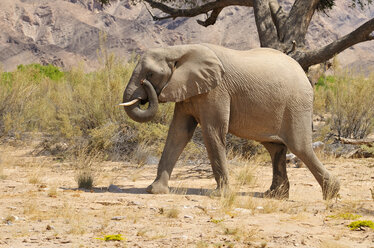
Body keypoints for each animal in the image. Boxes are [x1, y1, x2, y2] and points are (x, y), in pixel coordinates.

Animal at [121, 43, 340, 201]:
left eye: (150, 74)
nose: (145, 86)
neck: (178, 50)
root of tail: (305, 75)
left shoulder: (216, 91)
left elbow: (212, 132)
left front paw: (220, 195)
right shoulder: (188, 91)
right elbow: (178, 133)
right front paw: (154, 190)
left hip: (296, 104)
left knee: (300, 147)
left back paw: (332, 193)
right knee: (275, 148)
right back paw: (274, 195)